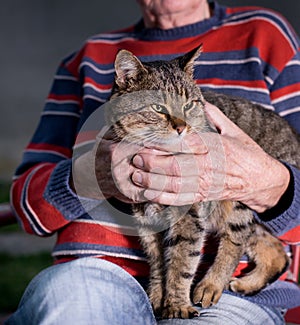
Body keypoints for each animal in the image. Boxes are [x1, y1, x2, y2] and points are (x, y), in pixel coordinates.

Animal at [103, 46, 300, 318]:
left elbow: (181, 263)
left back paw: (210, 285)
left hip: (239, 197)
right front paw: (156, 298)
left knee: (235, 242)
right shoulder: (146, 219)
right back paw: (247, 284)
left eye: (188, 105)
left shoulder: (189, 216)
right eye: (158, 108)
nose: (181, 127)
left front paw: (177, 305)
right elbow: (157, 263)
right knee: (276, 252)